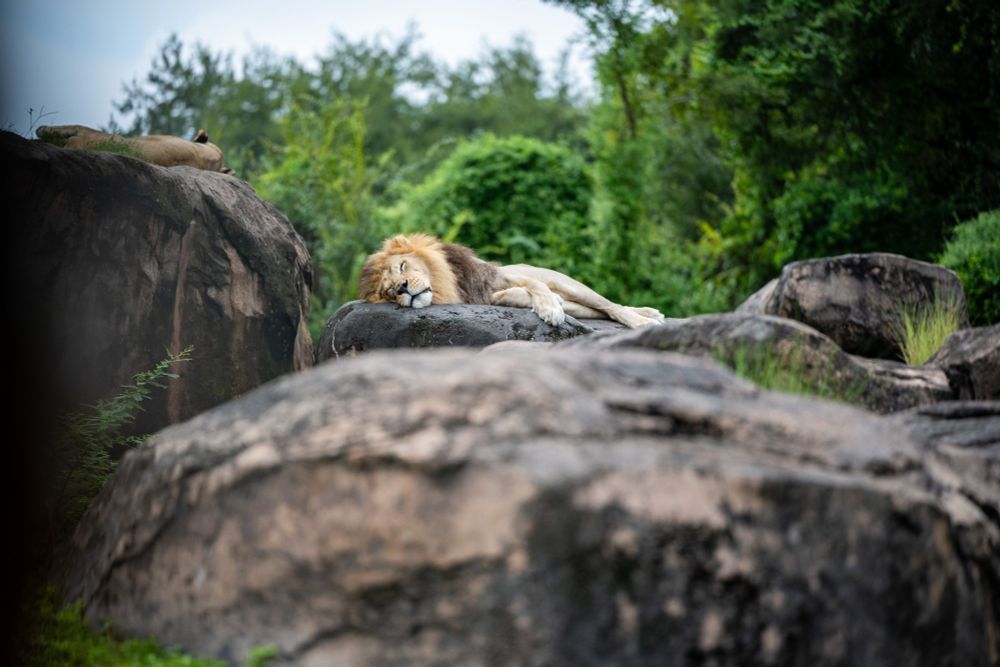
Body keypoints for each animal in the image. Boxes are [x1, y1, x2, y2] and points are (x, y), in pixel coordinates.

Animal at [359, 233, 665, 328]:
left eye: (402, 266)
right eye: (389, 292)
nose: (403, 288)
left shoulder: (508, 275)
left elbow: (535, 286)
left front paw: (550, 309)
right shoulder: (487, 296)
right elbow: (512, 295)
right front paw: (550, 304)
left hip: (570, 284)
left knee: (611, 306)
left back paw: (646, 320)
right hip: (579, 306)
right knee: (601, 311)